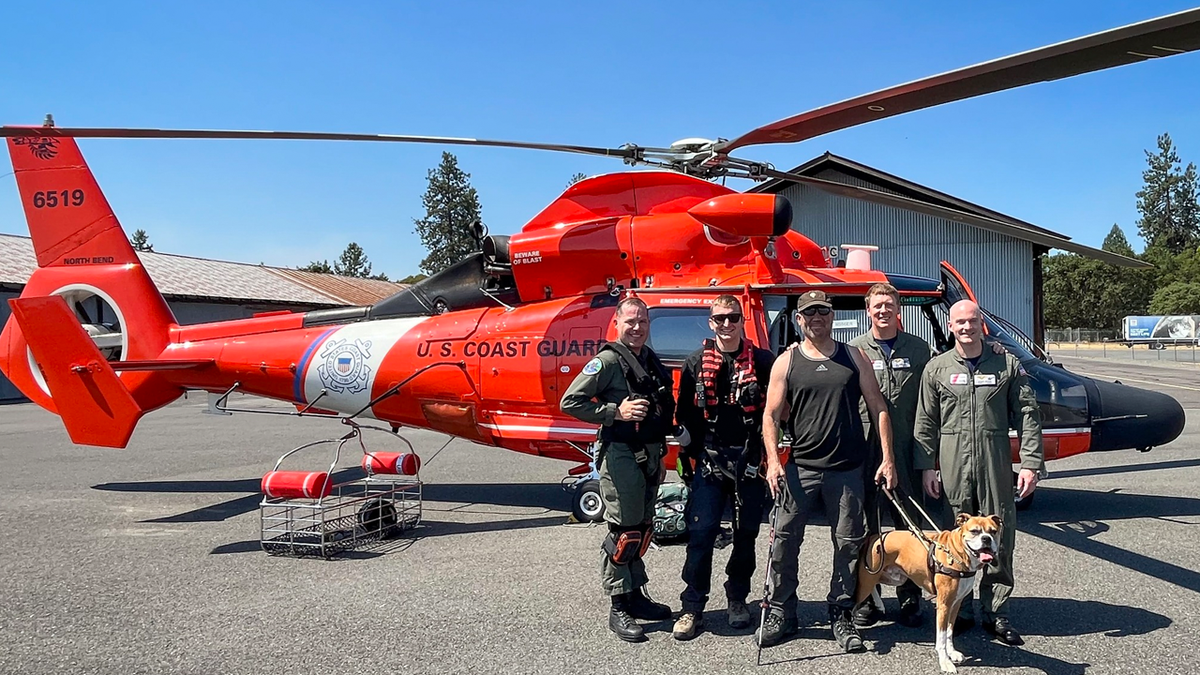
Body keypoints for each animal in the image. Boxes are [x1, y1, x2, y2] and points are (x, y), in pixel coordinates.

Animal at [854, 511, 1003, 667]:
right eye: (974, 531)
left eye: (993, 531)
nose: (986, 539)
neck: (956, 552)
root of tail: (874, 536)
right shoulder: (944, 605)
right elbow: (942, 637)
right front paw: (945, 662)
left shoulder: (955, 604)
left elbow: (949, 632)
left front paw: (952, 653)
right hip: (867, 581)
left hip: (893, 577)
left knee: (876, 586)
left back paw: (879, 604)